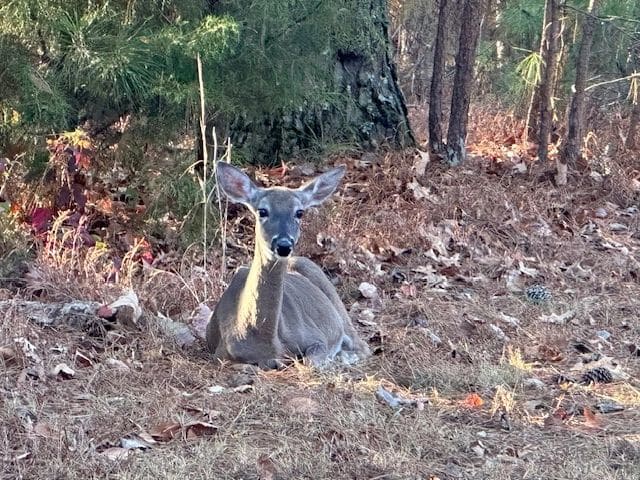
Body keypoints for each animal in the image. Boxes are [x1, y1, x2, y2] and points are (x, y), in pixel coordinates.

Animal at [206, 162, 370, 369]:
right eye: (262, 211)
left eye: (299, 212)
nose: (284, 245)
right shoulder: (220, 354)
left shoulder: (316, 337)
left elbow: (310, 360)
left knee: (362, 345)